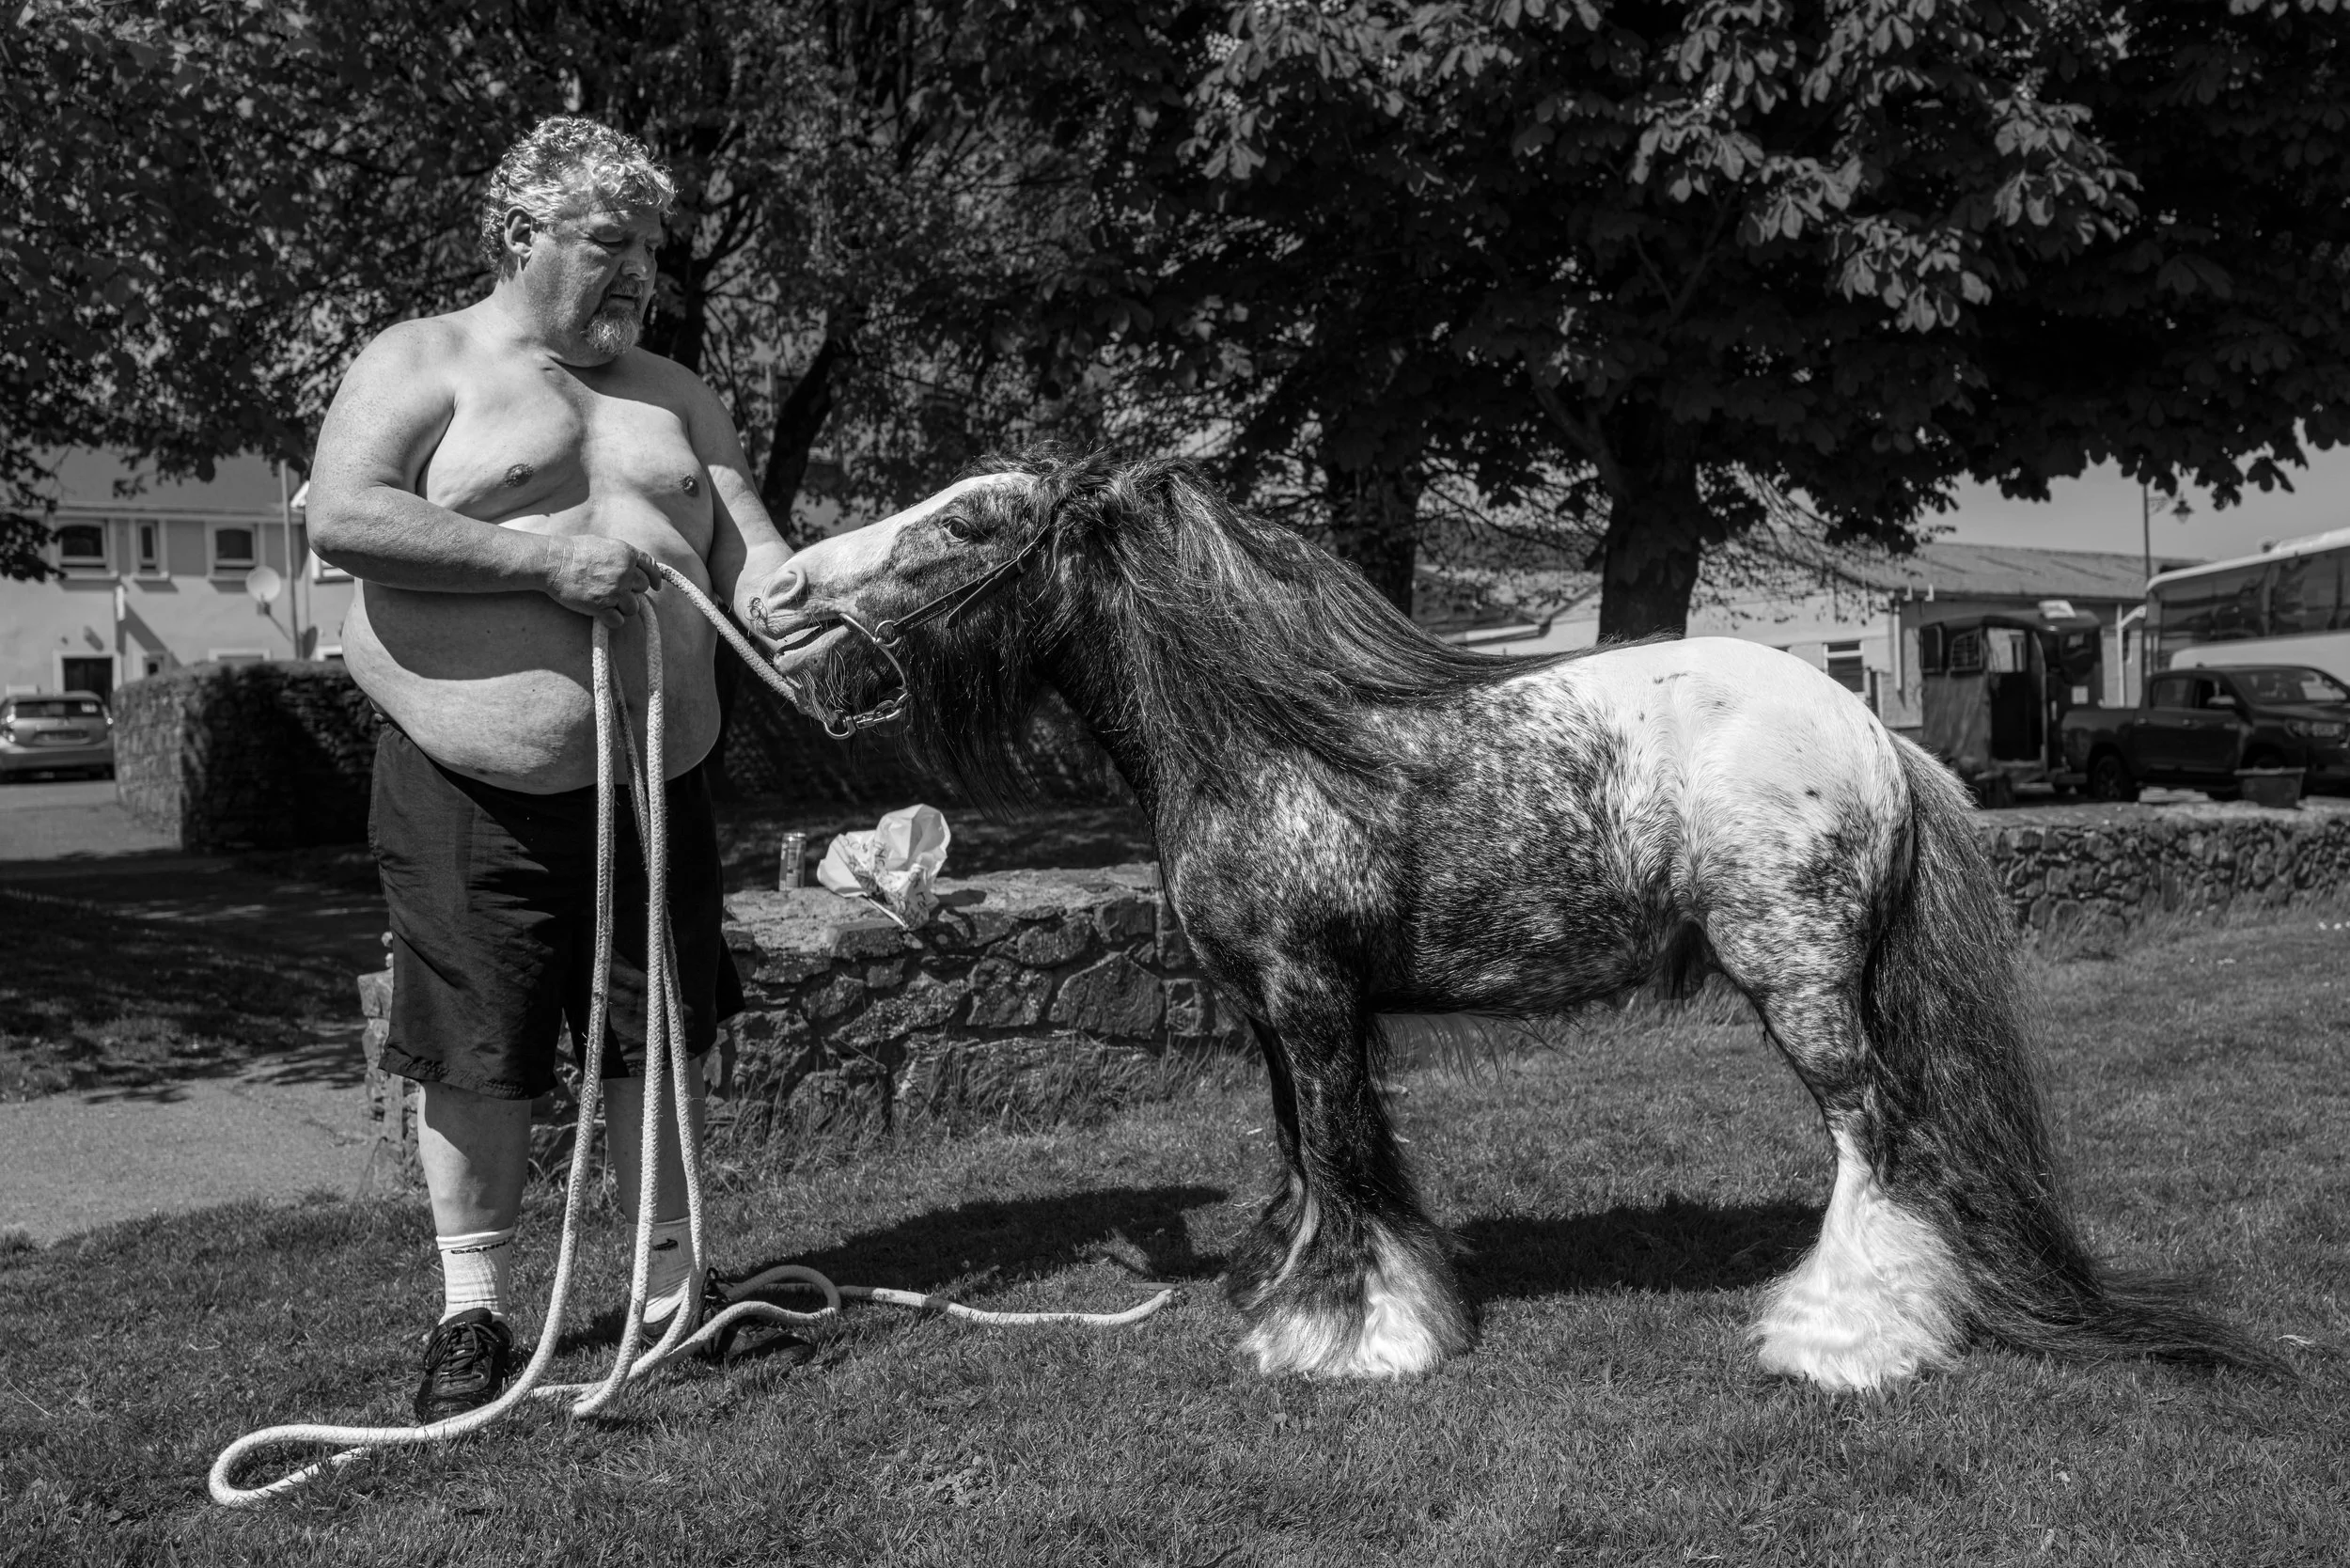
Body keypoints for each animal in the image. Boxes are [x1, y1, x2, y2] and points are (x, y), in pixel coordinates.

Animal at [753, 451, 2270, 1388]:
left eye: (969, 521)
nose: (781, 594)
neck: (1267, 744)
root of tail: (1874, 733)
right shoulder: (1273, 1014)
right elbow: (1309, 1159)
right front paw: (1292, 1297)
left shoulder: (1310, 999)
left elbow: (1345, 1163)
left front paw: (1357, 1341)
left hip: (1799, 984)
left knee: (1874, 1143)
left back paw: (1842, 1340)